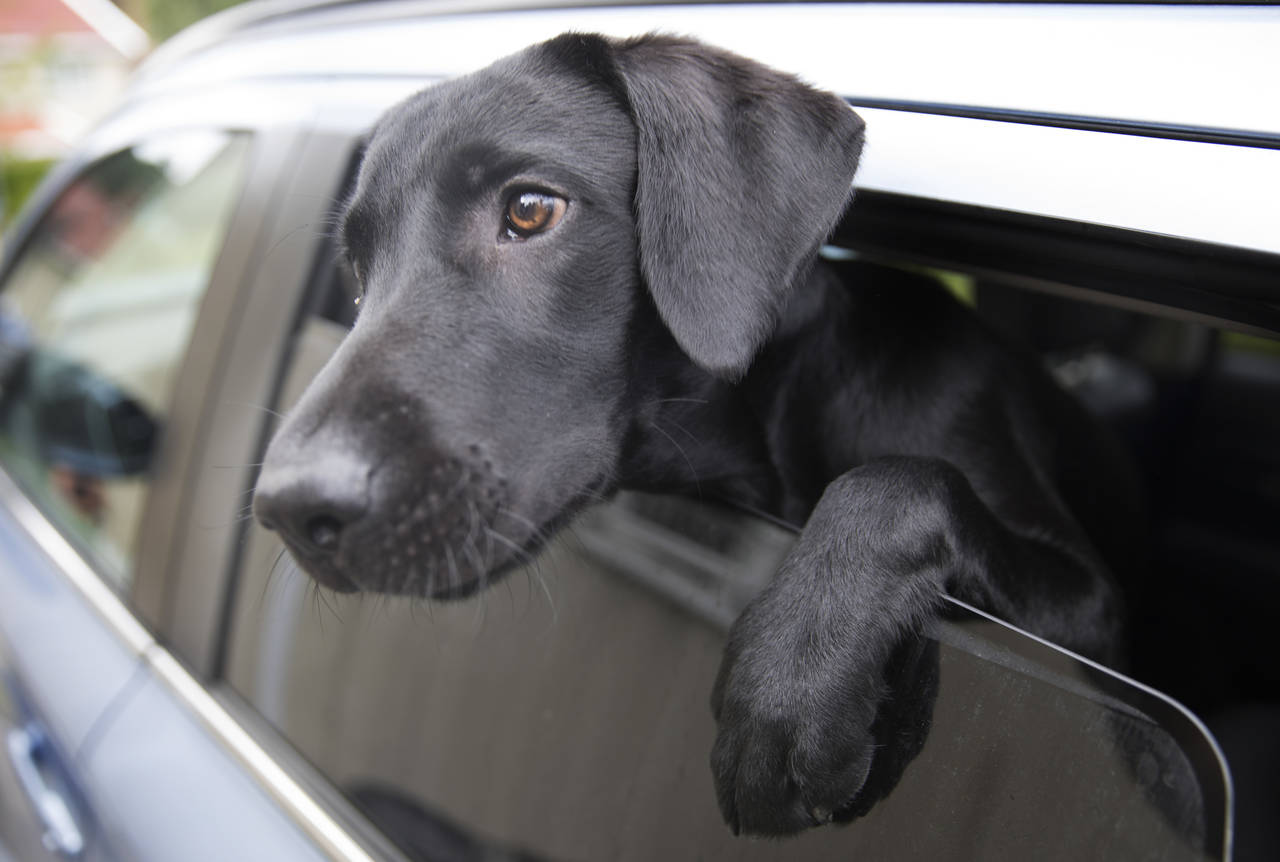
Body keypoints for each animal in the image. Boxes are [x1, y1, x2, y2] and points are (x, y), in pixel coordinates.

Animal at [249, 32, 1141, 835]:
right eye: (357, 267)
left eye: (531, 209)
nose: (288, 509)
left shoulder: (1094, 618)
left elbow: (898, 479)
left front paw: (791, 681)